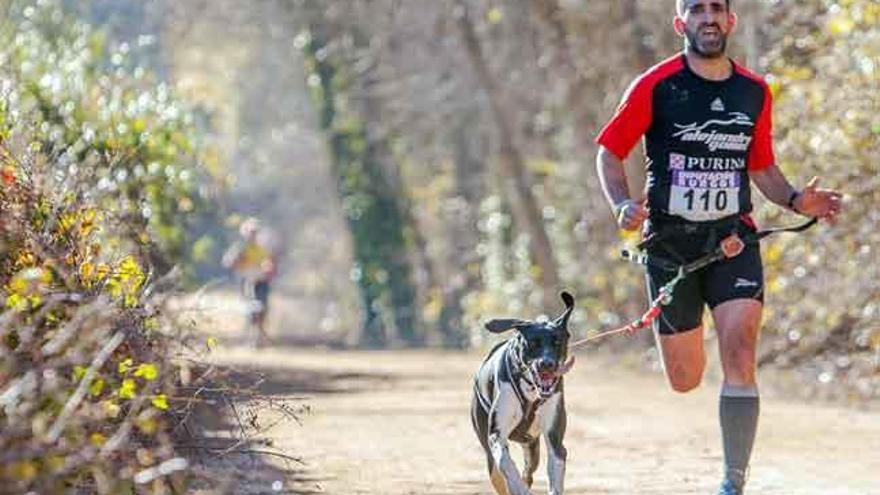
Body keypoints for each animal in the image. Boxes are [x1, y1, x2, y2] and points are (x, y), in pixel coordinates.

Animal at [470, 292, 576, 495]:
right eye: (533, 343)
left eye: (557, 342)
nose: (547, 364)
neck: (532, 393)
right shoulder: (496, 436)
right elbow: (508, 466)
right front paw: (519, 488)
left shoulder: (555, 439)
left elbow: (555, 471)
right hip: (488, 447)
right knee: (499, 474)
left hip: (532, 447)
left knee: (529, 470)